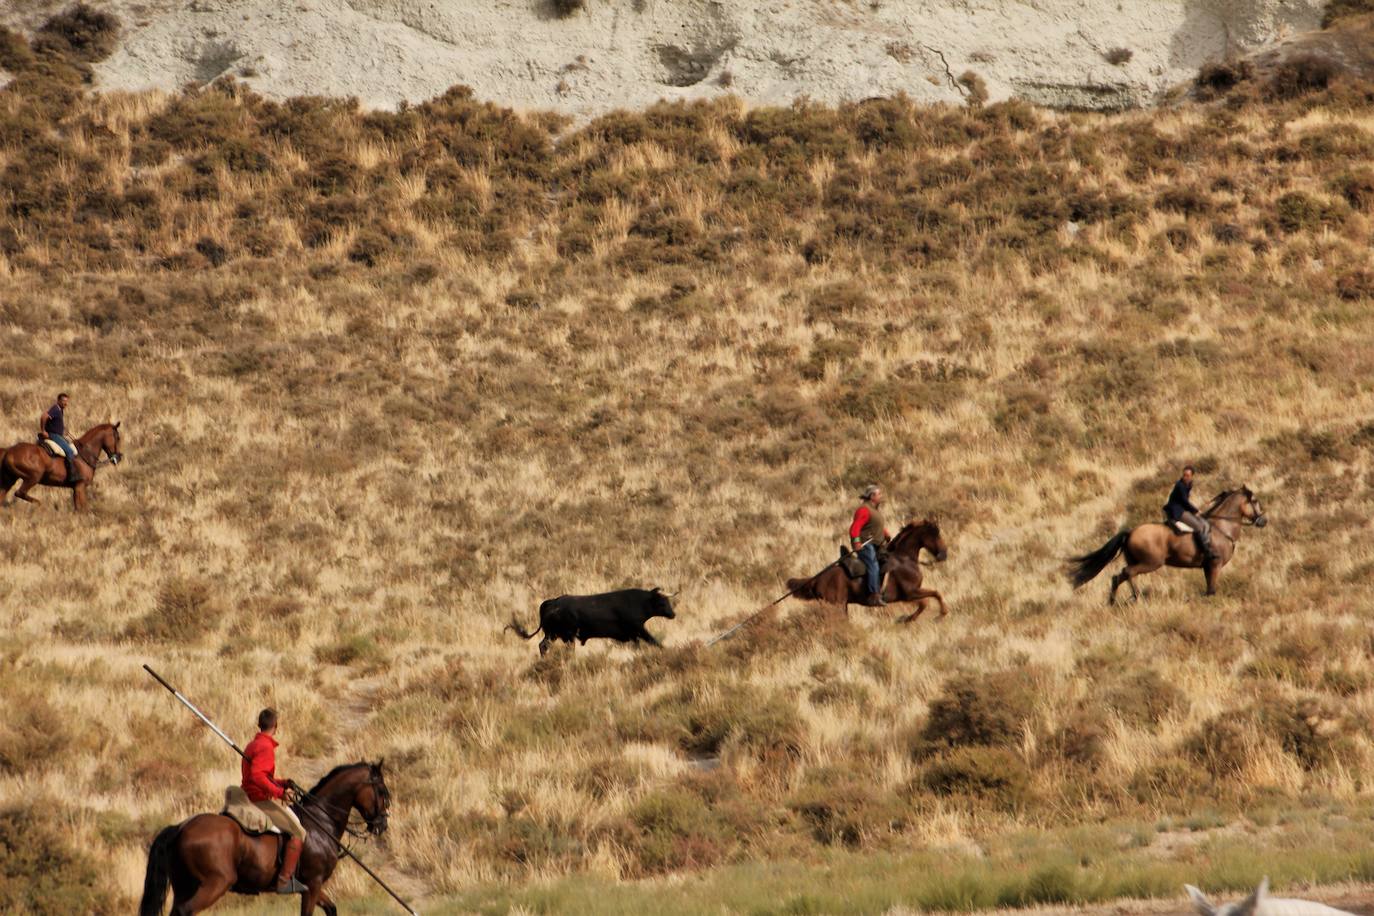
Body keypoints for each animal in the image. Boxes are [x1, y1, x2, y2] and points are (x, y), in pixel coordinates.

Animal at [140, 758, 387, 916]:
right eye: (383, 791)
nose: (383, 825)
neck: (320, 821)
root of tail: (181, 827)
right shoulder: (314, 883)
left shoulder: (310, 886)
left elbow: (331, 908)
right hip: (216, 882)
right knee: (186, 910)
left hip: (185, 884)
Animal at [505, 590, 676, 656]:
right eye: (662, 602)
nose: (673, 614)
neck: (638, 602)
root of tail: (553, 602)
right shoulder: (638, 629)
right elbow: (653, 640)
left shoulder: (633, 634)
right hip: (563, 634)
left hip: (553, 634)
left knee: (543, 645)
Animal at [791, 519, 950, 626]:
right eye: (936, 535)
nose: (944, 555)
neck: (904, 559)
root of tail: (816, 579)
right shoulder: (910, 593)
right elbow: (931, 597)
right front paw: (940, 615)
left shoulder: (909, 594)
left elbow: (928, 599)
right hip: (836, 605)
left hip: (842, 605)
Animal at [1066, 486, 1269, 601]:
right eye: (1255, 500)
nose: (1263, 521)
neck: (1221, 528)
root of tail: (1131, 532)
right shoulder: (1215, 564)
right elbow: (1211, 591)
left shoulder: (1207, 567)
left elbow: (1208, 589)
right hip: (1150, 563)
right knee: (1128, 573)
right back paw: (1136, 597)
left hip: (1137, 561)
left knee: (1117, 577)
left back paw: (1113, 602)